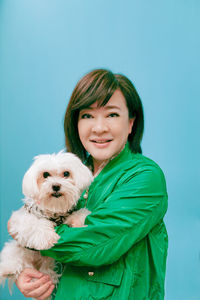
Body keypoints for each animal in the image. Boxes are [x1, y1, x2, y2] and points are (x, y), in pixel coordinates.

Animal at [0, 151, 93, 296]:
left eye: (66, 173)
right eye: (45, 175)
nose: (55, 186)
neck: (53, 210)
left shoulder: (66, 214)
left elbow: (78, 214)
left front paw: (80, 220)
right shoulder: (22, 218)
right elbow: (35, 223)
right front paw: (46, 237)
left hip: (48, 263)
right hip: (16, 249)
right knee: (11, 256)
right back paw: (9, 269)